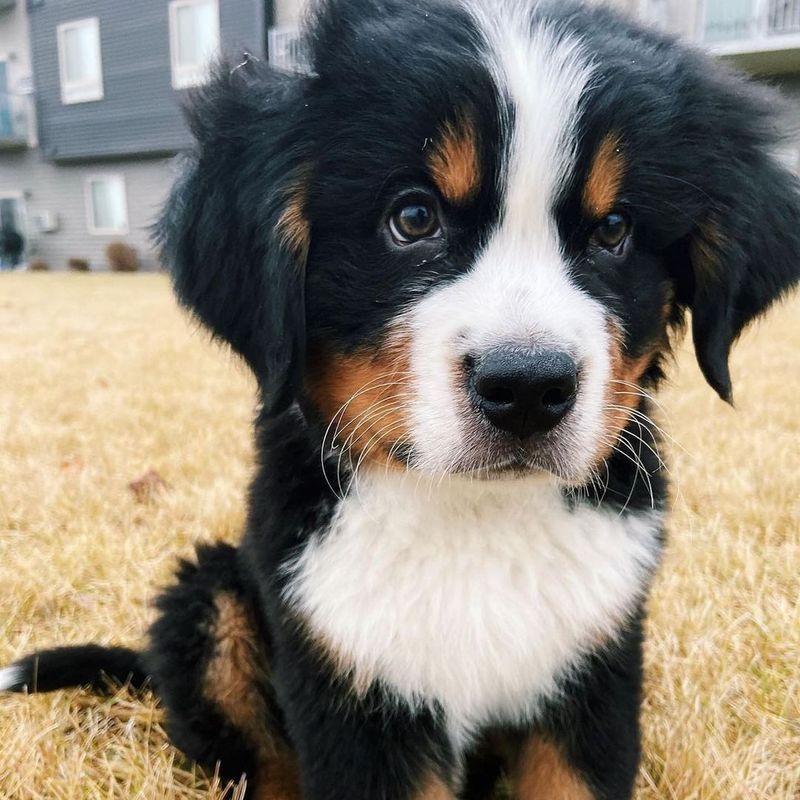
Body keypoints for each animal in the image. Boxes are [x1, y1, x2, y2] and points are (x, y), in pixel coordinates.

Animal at [1, 1, 800, 800]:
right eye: (413, 218)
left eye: (614, 230)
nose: (527, 387)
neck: (476, 521)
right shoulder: (354, 695)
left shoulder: (594, 676)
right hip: (214, 600)